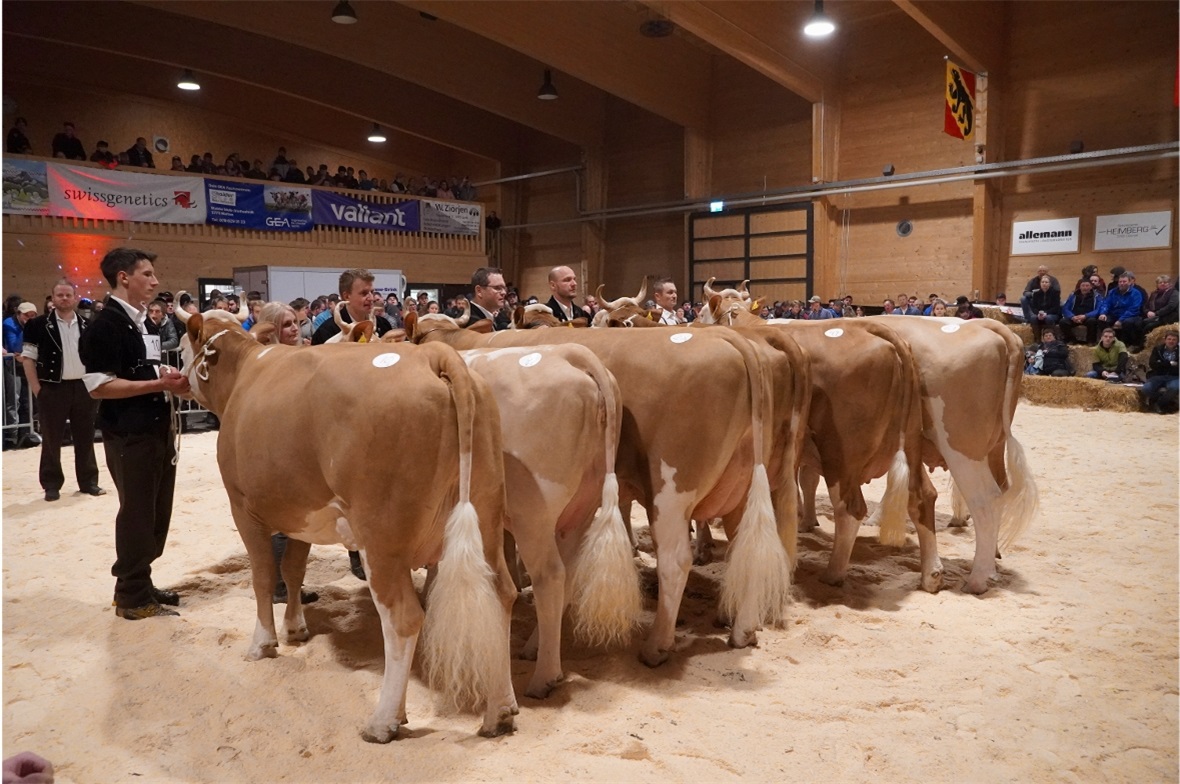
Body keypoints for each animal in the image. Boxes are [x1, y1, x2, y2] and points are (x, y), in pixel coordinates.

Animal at [176, 306, 518, 742]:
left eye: (183, 345)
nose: (175, 375)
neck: (243, 374)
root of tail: (433, 355)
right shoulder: (300, 513)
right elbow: (294, 568)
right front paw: (296, 629)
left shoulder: (243, 508)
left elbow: (264, 576)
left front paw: (263, 643)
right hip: (487, 514)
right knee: (502, 595)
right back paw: (500, 710)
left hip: (381, 537)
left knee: (403, 617)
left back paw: (384, 720)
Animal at [403, 309, 801, 666]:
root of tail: (727, 336)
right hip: (744, 483)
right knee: (748, 544)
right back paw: (742, 629)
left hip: (670, 494)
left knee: (674, 561)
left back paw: (656, 646)